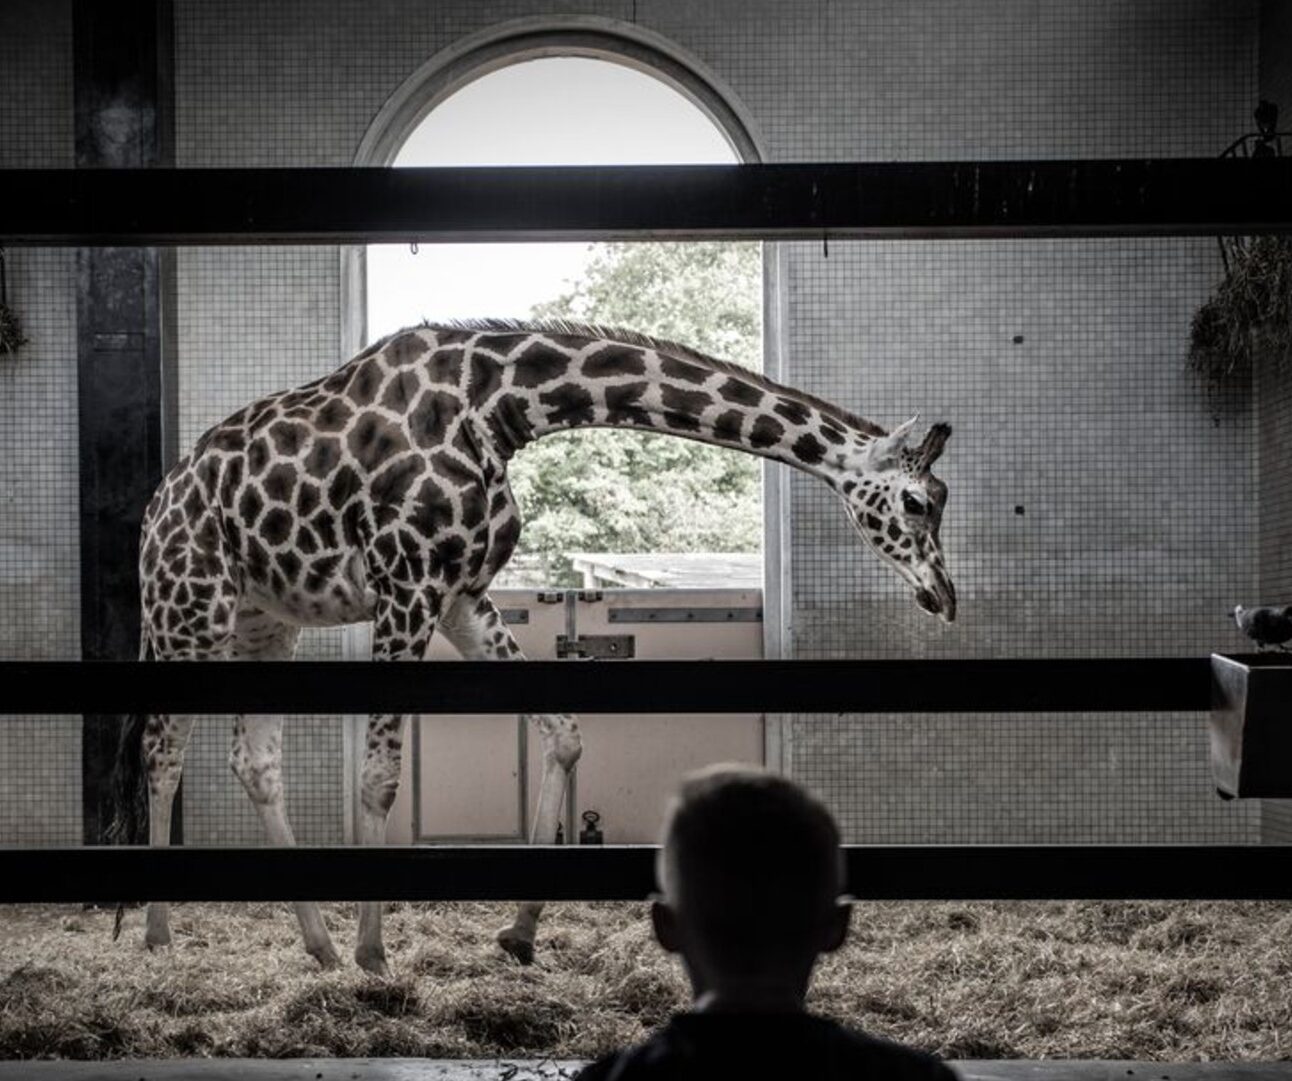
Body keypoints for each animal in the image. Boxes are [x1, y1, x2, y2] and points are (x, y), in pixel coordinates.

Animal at [118, 318, 955, 976]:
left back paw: (314, 944)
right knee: (162, 749)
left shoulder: (461, 594)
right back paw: (158, 933)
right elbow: (381, 775)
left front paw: (519, 931)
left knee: (253, 762)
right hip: (188, 610)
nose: (944, 595)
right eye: (917, 501)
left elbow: (564, 732)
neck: (499, 406)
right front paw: (375, 951)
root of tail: (154, 510)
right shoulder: (406, 584)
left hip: (265, 620)